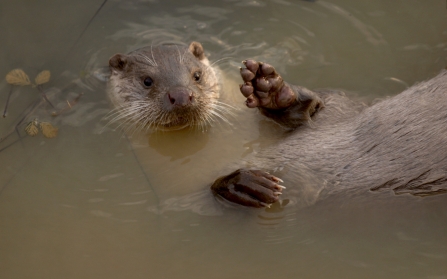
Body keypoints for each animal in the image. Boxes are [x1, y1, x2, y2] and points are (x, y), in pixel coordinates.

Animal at [108, 43, 447, 210]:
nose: (180, 95)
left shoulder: (349, 105)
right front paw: (244, 183)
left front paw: (271, 90)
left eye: (196, 75)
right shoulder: (174, 197)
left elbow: (330, 103)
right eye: (147, 81)